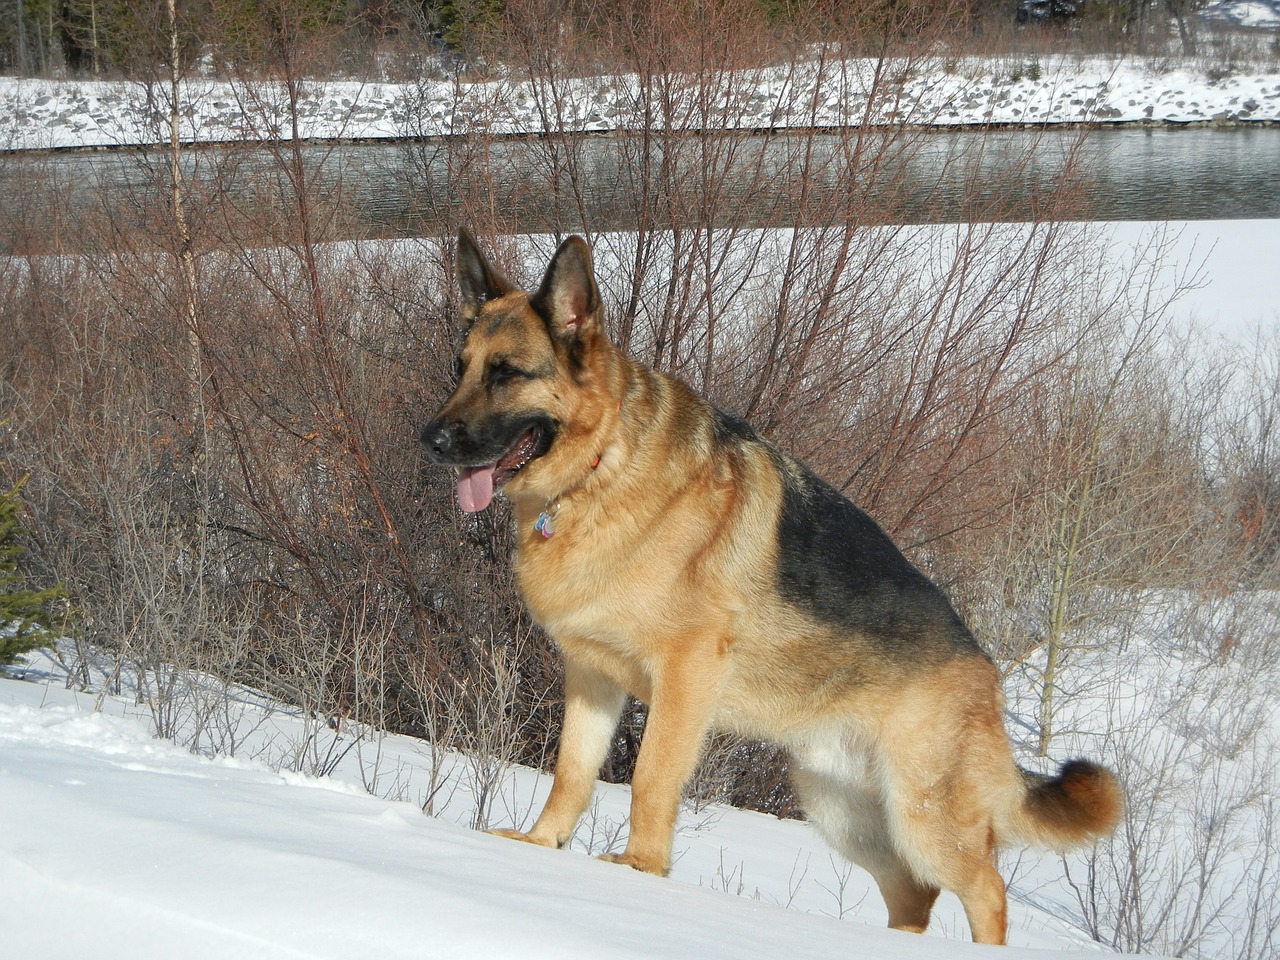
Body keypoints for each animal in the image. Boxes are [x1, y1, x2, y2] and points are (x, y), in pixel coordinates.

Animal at [422, 231, 1121, 947]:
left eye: (507, 373)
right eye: (460, 367)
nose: (432, 440)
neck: (599, 468)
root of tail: (985, 669)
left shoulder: (684, 675)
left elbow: (650, 777)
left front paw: (639, 871)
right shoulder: (592, 676)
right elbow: (572, 773)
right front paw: (540, 847)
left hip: (923, 815)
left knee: (986, 889)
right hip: (844, 809)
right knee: (916, 895)